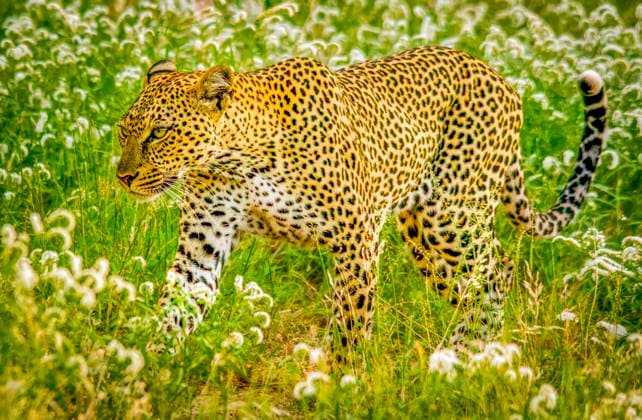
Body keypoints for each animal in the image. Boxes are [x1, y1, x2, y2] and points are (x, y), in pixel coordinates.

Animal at [116, 46, 607, 350]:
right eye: (124, 131)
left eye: (159, 133)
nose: (124, 177)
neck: (236, 158)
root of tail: (500, 79)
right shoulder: (204, 241)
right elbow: (178, 305)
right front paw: (150, 369)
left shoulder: (356, 238)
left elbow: (352, 321)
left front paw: (341, 384)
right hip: (424, 233)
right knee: (479, 282)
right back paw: (457, 357)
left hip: (451, 217)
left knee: (497, 273)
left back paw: (466, 356)